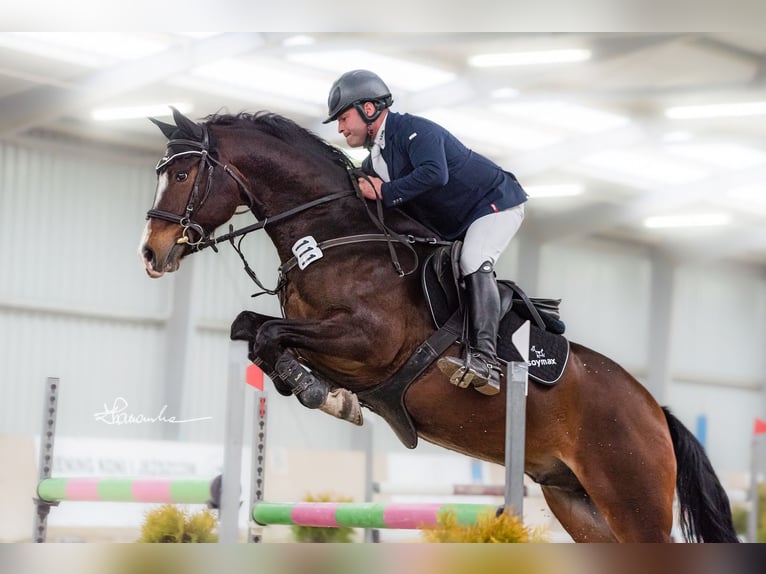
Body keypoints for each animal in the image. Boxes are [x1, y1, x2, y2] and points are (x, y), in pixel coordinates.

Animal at [139, 107, 738, 543]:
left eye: (185, 174)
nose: (151, 254)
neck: (333, 235)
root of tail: (656, 413)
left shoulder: (367, 344)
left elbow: (267, 334)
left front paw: (323, 394)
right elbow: (251, 329)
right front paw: (323, 393)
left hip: (632, 501)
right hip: (576, 503)